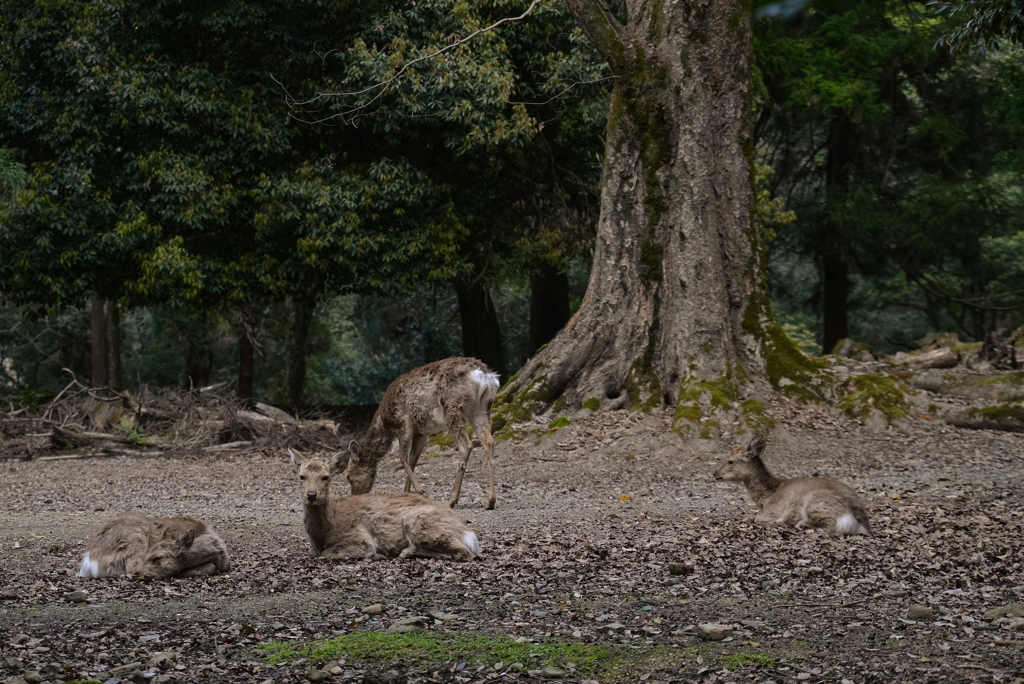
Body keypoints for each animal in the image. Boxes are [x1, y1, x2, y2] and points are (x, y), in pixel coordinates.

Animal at [288, 448, 479, 561]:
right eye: (301, 476)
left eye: (326, 477)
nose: (311, 495)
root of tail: (467, 532)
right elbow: (312, 553)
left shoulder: (360, 538)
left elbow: (326, 554)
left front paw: (374, 554)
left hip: (419, 521)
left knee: (464, 553)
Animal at [346, 358, 501, 507]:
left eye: (348, 476)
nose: (355, 497)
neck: (384, 423)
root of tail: (485, 377)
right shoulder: (422, 433)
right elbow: (413, 460)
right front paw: (407, 493)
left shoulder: (403, 422)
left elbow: (403, 457)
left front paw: (421, 491)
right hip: (482, 408)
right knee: (489, 441)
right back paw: (490, 501)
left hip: (453, 407)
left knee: (466, 445)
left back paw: (452, 500)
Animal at [712, 436, 872, 536]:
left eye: (730, 461)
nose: (715, 473)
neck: (767, 497)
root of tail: (860, 522)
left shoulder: (774, 510)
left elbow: (754, 518)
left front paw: (778, 523)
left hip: (815, 503)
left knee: (832, 527)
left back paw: (799, 525)